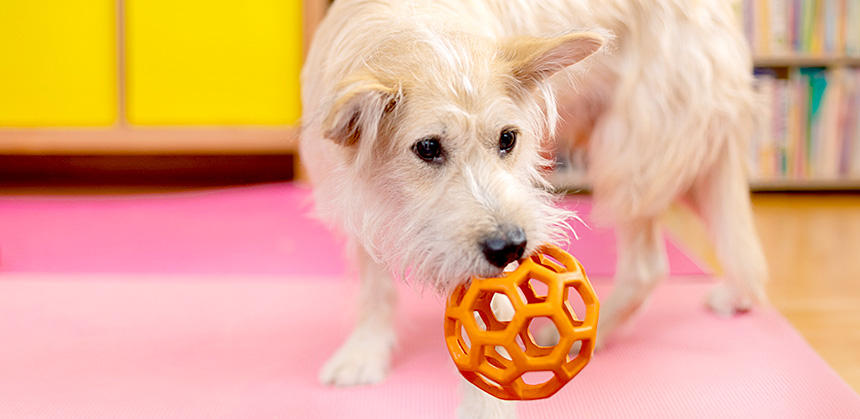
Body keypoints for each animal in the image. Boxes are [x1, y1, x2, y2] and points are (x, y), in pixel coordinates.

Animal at [298, 0, 764, 416]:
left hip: (630, 155)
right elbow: (375, 287)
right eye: (428, 147)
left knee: (648, 266)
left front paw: (485, 409)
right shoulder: (357, 199)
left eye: (508, 138)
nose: (509, 247)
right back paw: (738, 294)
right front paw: (365, 352)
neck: (411, 27)